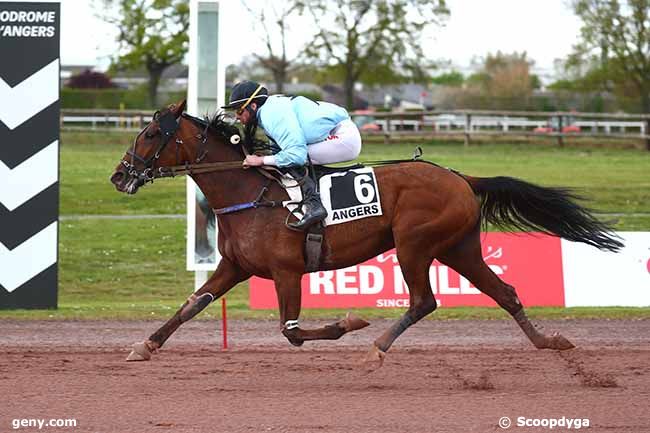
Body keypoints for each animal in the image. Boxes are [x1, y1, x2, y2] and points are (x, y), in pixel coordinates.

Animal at [111, 100, 624, 368]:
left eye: (152, 133)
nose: (120, 176)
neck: (249, 193)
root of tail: (461, 177)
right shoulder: (235, 266)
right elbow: (190, 305)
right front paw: (144, 345)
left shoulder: (287, 270)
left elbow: (292, 332)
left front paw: (349, 322)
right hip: (459, 248)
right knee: (505, 291)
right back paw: (548, 343)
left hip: (415, 243)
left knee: (424, 301)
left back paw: (376, 348)